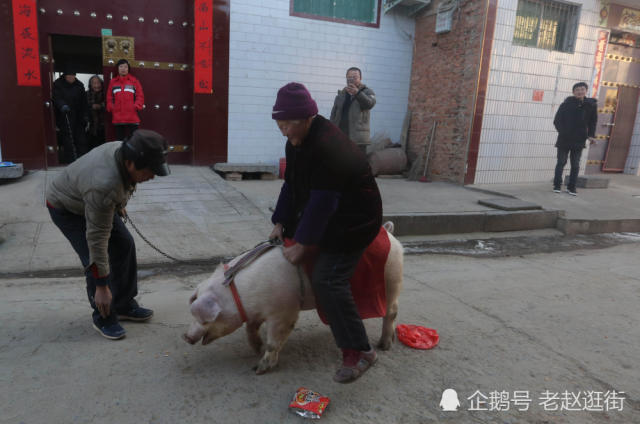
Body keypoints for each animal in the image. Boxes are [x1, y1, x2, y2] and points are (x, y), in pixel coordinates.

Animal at [185, 222, 402, 374]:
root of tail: (389, 232)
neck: (242, 295)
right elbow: (250, 329)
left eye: (204, 319)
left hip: (392, 281)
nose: (185, 337)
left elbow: (275, 340)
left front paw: (259, 369)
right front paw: (257, 349)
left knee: (391, 312)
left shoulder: (284, 311)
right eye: (192, 315)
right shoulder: (258, 312)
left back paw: (384, 346)